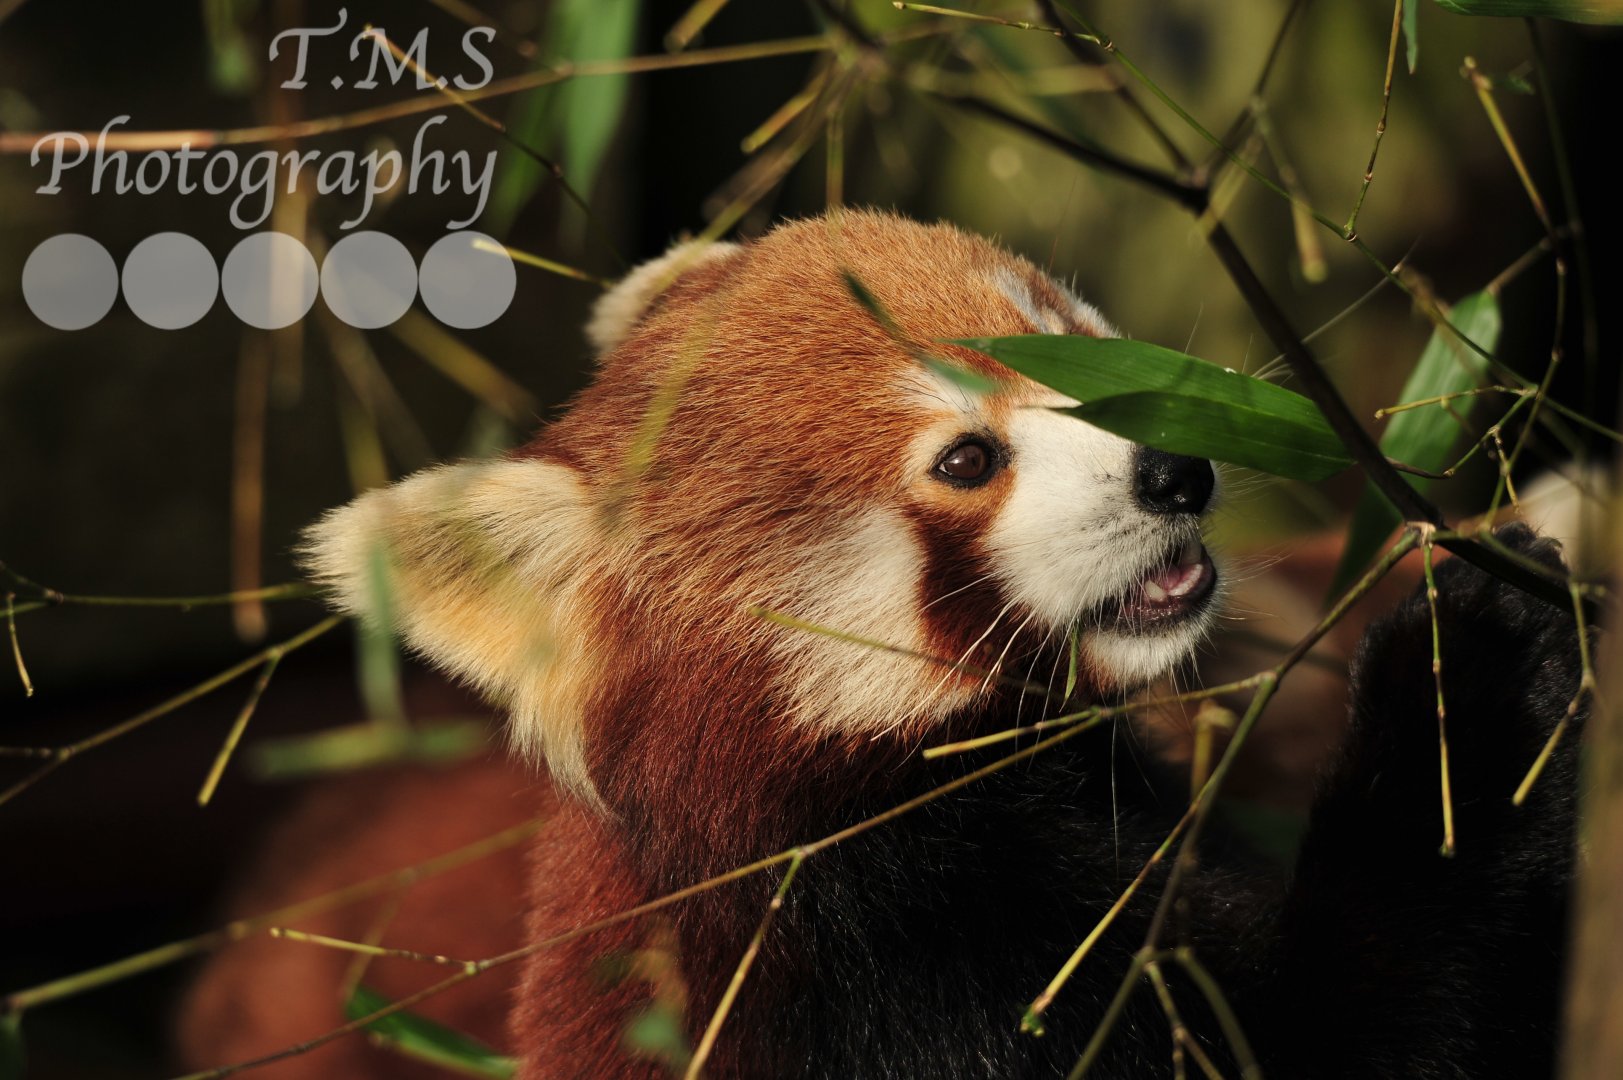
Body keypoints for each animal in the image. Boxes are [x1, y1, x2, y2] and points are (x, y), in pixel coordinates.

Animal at [181, 210, 1585, 1079]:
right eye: (967, 460)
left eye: (1090, 356)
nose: (1177, 470)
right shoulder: (900, 957)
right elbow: (1358, 1027)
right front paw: (1471, 664)